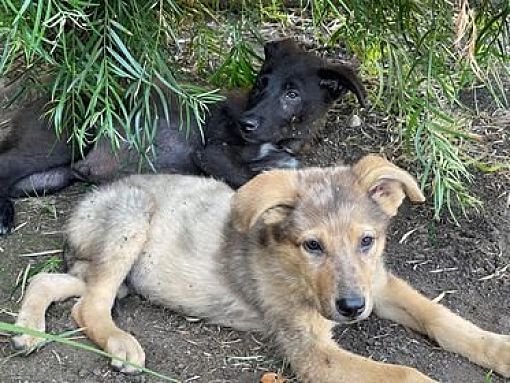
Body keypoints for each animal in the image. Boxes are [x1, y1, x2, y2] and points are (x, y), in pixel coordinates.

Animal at [0, 40, 366, 236]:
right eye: (261, 83)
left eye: (292, 94)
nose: (246, 123)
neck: (278, 141)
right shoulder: (210, 153)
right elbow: (245, 178)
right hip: (61, 139)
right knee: (6, 164)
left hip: (50, 177)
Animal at [11, 157, 510, 383]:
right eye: (313, 245)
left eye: (367, 241)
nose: (351, 308)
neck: (297, 271)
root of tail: (86, 203)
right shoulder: (311, 352)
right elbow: (407, 374)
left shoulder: (379, 284)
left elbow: (441, 317)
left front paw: (500, 349)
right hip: (131, 221)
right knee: (88, 307)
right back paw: (120, 344)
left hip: (117, 276)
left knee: (50, 279)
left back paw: (27, 330)